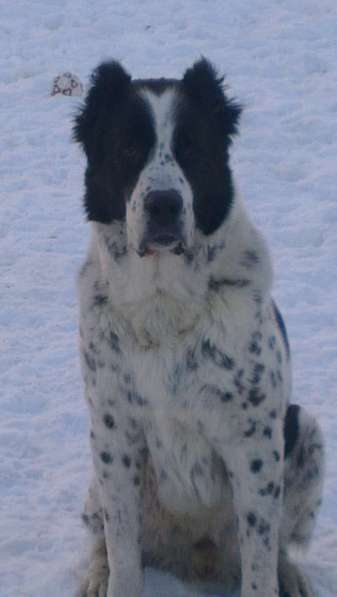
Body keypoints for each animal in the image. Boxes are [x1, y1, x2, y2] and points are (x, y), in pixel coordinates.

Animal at [73, 57, 322, 596]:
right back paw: (96, 575)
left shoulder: (253, 442)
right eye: (128, 148)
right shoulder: (114, 431)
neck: (164, 307)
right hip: (96, 476)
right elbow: (123, 553)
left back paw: (290, 576)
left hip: (303, 431)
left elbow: (258, 564)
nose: (164, 204)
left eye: (191, 149)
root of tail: (195, 561)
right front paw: (112, 577)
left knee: (275, 544)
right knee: (104, 538)